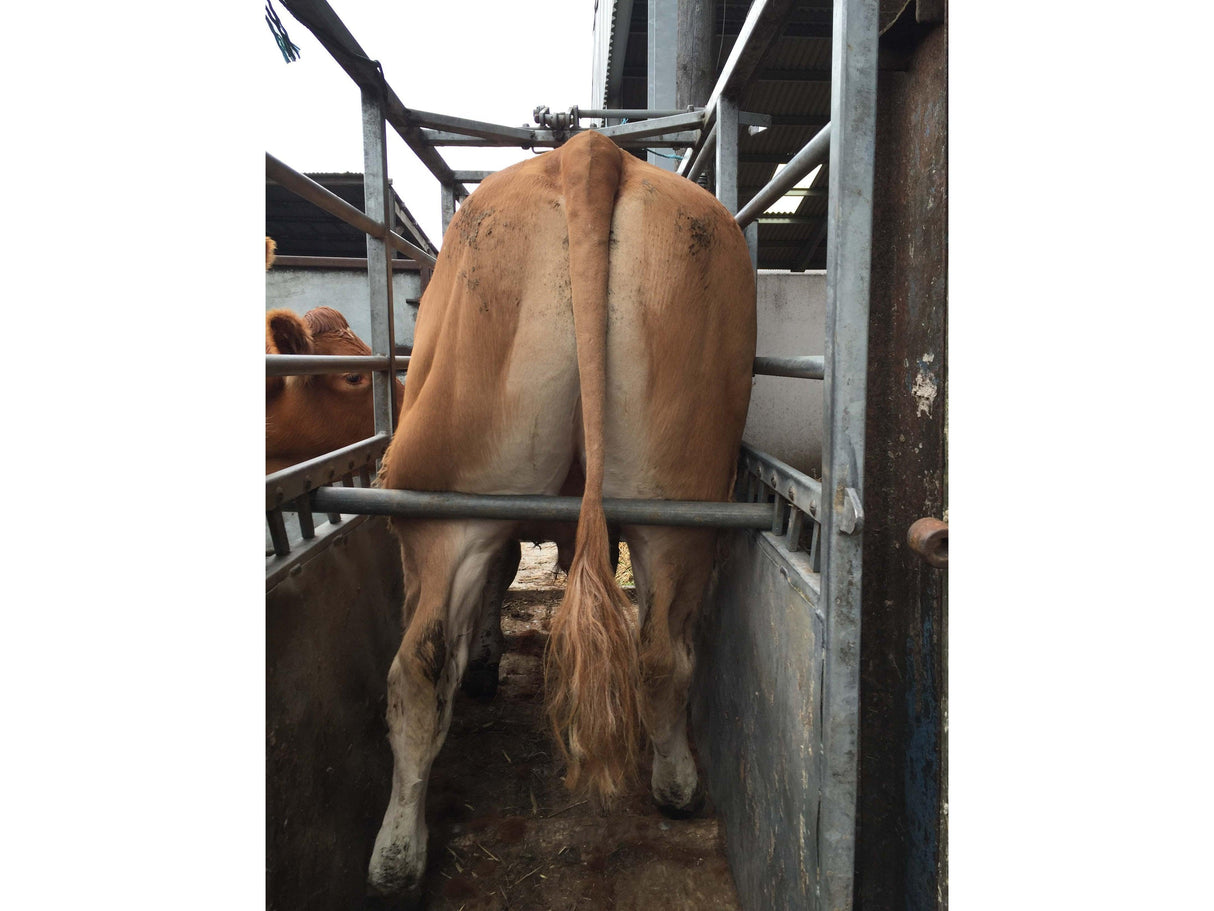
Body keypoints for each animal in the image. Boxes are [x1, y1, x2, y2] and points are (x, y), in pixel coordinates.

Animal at [367, 129, 756, 903]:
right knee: (658, 654)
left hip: (441, 495)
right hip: (675, 502)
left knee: (419, 665)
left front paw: (488, 656)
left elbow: (503, 574)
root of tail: (591, 151)